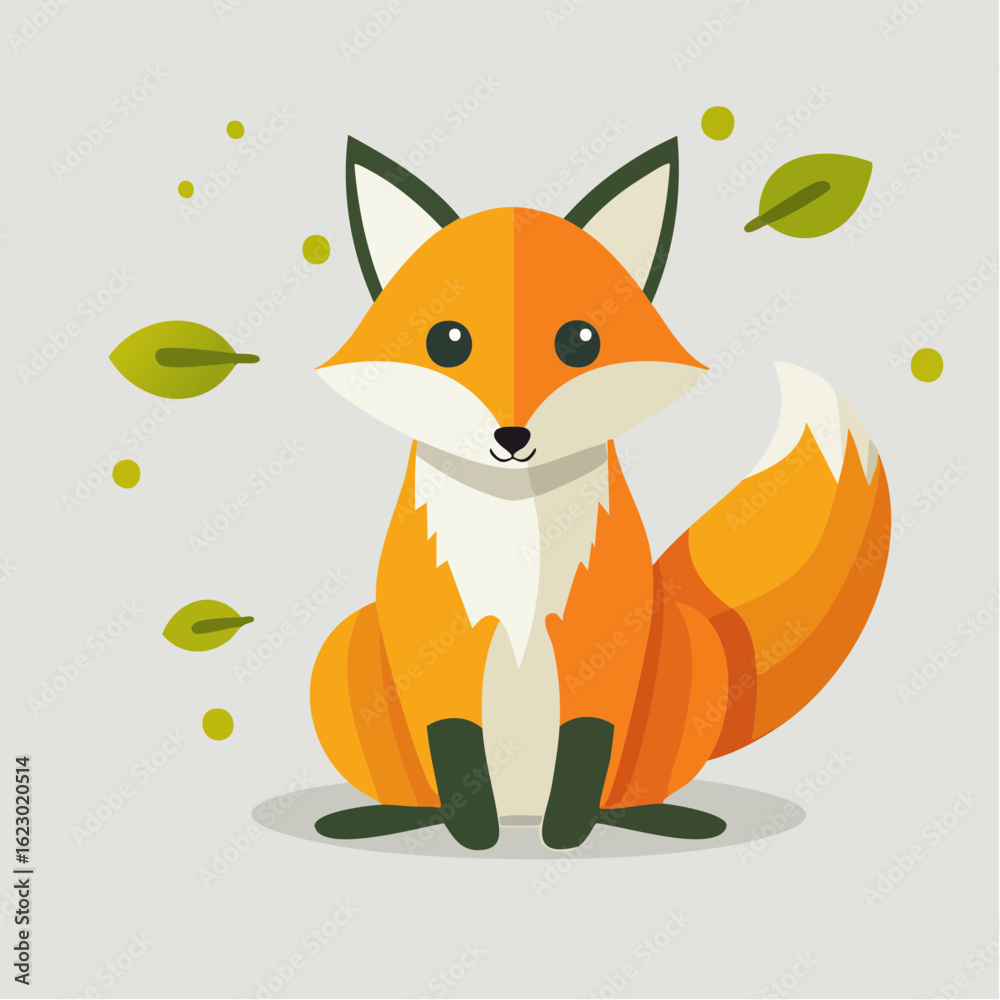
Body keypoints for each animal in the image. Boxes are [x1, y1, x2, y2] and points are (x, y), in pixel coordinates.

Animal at [309, 136, 891, 851]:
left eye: (580, 340)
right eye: (447, 341)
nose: (512, 436)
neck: (521, 528)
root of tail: (521, 807)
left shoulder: (599, 642)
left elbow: (588, 741)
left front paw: (565, 835)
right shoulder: (437, 643)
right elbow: (454, 744)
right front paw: (476, 835)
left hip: (690, 646)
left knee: (625, 796)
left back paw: (660, 820)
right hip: (346, 642)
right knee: (416, 793)